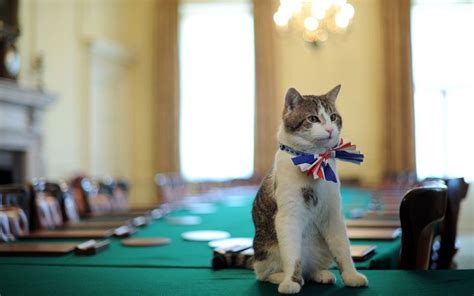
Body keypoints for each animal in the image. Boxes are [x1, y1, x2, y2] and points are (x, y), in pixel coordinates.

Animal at [250, 85, 368, 294]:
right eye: (312, 119)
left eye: (333, 116)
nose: (329, 129)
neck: (314, 161)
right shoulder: (288, 215)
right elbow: (292, 254)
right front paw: (291, 281)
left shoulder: (333, 213)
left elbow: (342, 247)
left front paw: (351, 276)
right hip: (266, 250)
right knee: (263, 274)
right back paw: (280, 276)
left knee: (311, 268)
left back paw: (320, 274)